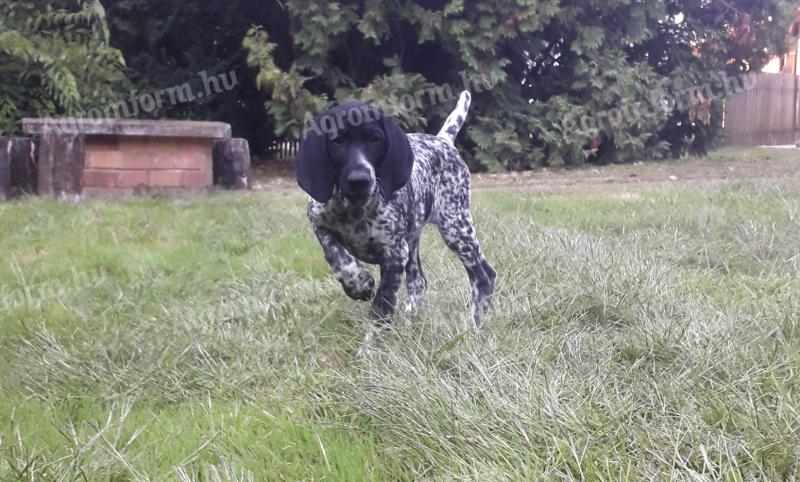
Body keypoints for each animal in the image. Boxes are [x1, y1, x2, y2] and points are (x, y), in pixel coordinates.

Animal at [294, 89, 494, 350]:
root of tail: (442, 140)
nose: (360, 180)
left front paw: (369, 350)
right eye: (337, 142)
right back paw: (410, 326)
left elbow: (381, 308)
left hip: (455, 226)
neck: (354, 208)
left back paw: (473, 327)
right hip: (415, 238)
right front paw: (359, 284)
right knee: (418, 281)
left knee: (484, 276)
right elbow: (337, 257)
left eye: (375, 140)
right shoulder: (319, 221)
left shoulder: (394, 254)